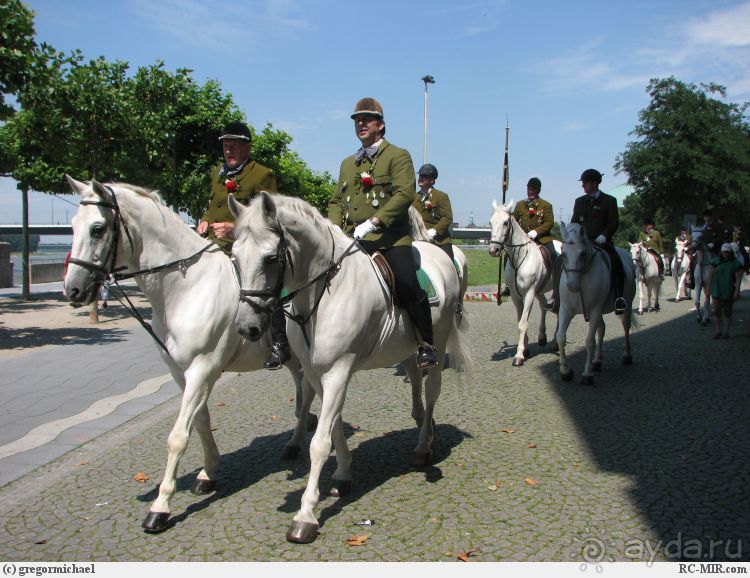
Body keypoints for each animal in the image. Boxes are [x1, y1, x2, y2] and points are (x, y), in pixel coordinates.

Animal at [61, 178, 314, 532]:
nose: (73, 290)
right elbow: (201, 421)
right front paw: (208, 474)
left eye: (97, 229)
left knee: (307, 391)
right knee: (302, 389)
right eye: (72, 226)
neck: (185, 289)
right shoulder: (181, 372)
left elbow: (179, 435)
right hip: (293, 357)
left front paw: (160, 507)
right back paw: (297, 436)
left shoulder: (202, 369)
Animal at [229, 191, 470, 544]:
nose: (247, 328)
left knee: (432, 389)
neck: (324, 294)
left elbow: (319, 443)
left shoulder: (338, 372)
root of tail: (438, 254)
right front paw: (343, 475)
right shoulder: (317, 375)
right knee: (415, 381)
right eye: (234, 258)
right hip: (406, 348)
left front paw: (305, 515)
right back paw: (421, 423)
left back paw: (423, 446)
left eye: (271, 258)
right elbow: (334, 427)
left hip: (436, 344)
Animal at [490, 198, 560, 364]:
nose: (494, 250)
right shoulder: (516, 295)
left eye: (505, 223)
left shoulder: (528, 294)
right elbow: (520, 320)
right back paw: (542, 337)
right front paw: (525, 349)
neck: (520, 258)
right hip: (539, 291)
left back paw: (555, 342)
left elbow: (523, 323)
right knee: (543, 307)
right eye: (490, 222)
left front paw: (519, 355)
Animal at [556, 223, 636, 384]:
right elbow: (560, 337)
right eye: (563, 251)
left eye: (582, 253)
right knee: (602, 329)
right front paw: (566, 371)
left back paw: (626, 356)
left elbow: (589, 341)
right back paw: (597, 361)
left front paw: (587, 374)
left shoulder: (595, 310)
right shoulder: (566, 310)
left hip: (626, 305)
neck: (582, 278)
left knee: (626, 326)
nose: (572, 286)